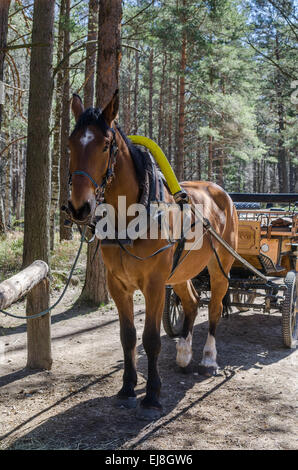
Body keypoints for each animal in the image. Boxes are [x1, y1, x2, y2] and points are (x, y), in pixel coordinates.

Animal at [67, 90, 237, 420]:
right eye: (70, 143)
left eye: (104, 145)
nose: (79, 207)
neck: (131, 216)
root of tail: (219, 192)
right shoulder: (117, 285)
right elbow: (128, 337)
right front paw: (127, 388)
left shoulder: (155, 284)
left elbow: (151, 339)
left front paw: (152, 396)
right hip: (181, 271)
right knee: (192, 302)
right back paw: (184, 353)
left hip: (220, 266)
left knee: (214, 308)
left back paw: (208, 359)